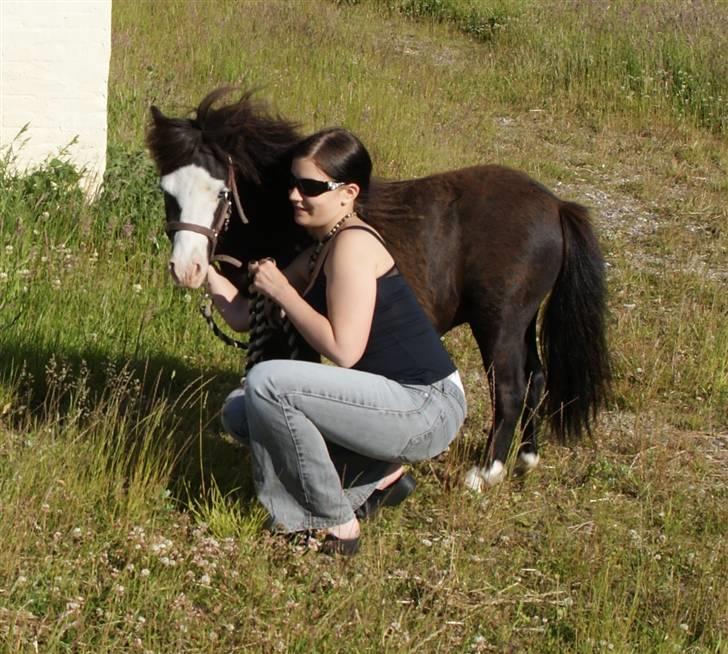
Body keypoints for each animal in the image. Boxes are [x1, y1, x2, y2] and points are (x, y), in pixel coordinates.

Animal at [146, 89, 608, 490]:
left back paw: (485, 473)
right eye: (167, 191)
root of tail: (557, 206)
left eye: (222, 191)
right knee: (537, 379)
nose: (187, 269)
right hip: (522, 322)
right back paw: (526, 458)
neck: (289, 223)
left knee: (511, 390)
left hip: (499, 323)